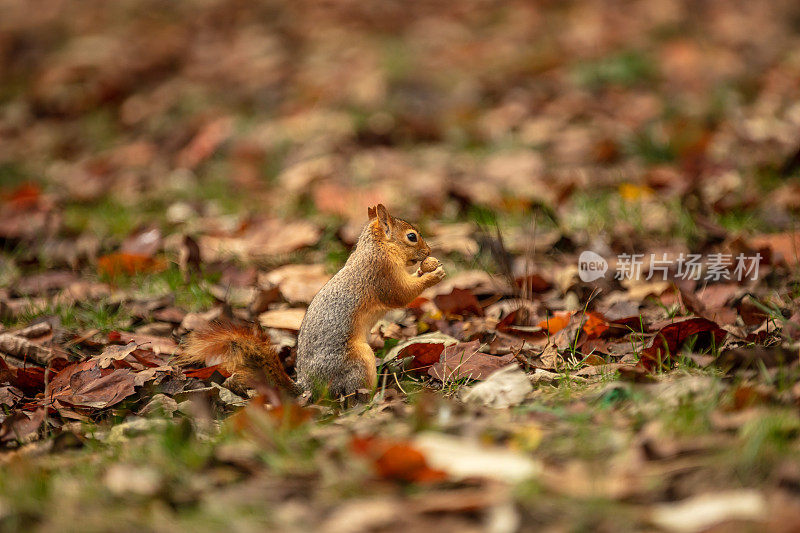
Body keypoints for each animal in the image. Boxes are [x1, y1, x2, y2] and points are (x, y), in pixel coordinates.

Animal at [177, 204, 446, 400]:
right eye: (411, 237)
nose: (428, 251)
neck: (376, 248)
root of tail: (308, 387)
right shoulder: (381, 274)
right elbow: (401, 294)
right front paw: (433, 274)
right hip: (359, 360)